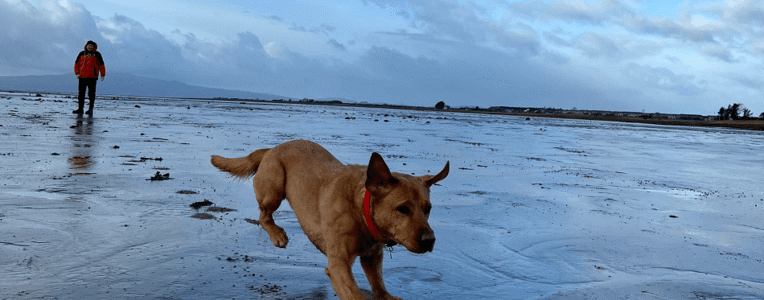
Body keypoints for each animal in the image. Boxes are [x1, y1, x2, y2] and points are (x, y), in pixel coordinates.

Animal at [209, 139, 448, 298]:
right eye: (402, 209)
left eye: (428, 209)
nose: (429, 241)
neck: (360, 210)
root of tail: (271, 148)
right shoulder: (339, 263)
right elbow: (354, 293)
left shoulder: (372, 257)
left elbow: (378, 285)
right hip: (273, 188)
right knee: (263, 215)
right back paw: (277, 234)